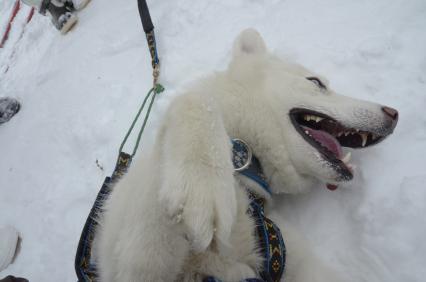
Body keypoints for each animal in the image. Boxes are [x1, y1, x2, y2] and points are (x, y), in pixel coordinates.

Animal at [95, 29, 398, 282]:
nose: (393, 114)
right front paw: (203, 186)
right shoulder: (137, 260)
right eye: (316, 82)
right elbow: (194, 100)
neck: (245, 172)